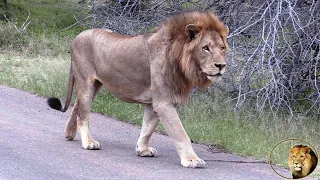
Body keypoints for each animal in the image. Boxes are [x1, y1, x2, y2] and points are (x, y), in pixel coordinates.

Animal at [47, 10, 229, 168]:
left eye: (222, 48)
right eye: (205, 48)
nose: (221, 66)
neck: (180, 61)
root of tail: (76, 37)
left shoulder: (154, 102)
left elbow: (148, 128)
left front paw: (142, 150)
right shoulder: (164, 102)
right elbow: (180, 133)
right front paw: (192, 160)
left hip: (95, 85)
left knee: (76, 106)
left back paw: (69, 133)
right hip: (86, 83)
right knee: (82, 115)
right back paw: (89, 142)